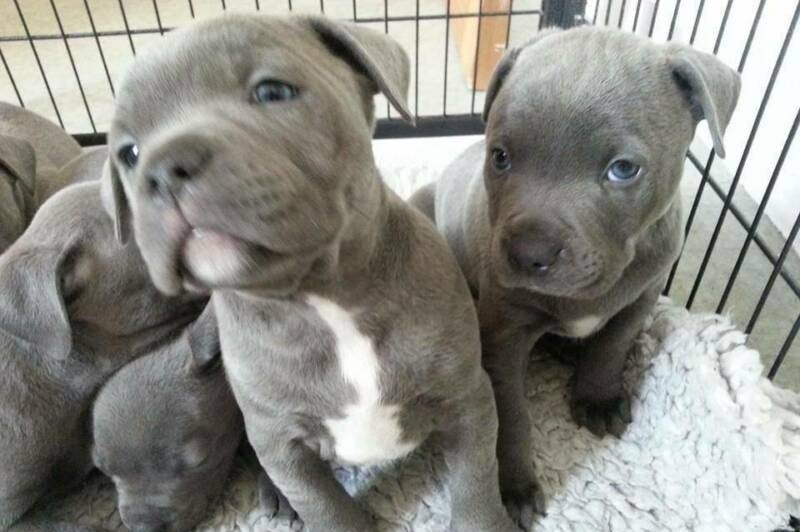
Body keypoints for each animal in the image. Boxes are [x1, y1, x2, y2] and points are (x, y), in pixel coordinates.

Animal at [98, 12, 520, 532]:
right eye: (129, 153)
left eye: (273, 92)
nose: (162, 167)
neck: (321, 302)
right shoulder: (282, 444)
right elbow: (325, 506)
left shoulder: (468, 400)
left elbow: (476, 484)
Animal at [410, 26, 740, 528]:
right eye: (500, 157)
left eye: (623, 169)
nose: (528, 254)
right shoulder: (504, 333)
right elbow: (512, 415)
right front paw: (513, 486)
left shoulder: (641, 296)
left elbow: (612, 345)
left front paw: (597, 397)